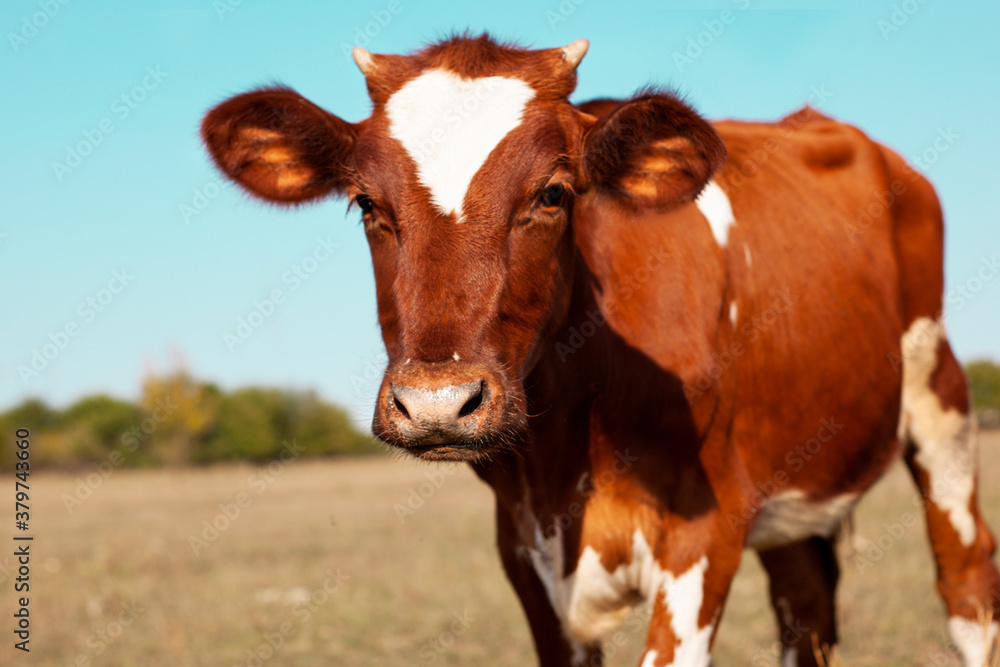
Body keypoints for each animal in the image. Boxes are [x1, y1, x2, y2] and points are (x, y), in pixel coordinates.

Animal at [203, 35, 1000, 667]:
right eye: (367, 204)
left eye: (554, 193)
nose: (437, 403)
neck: (568, 445)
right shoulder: (525, 552)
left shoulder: (705, 536)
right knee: (805, 608)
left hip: (942, 404)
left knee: (966, 584)